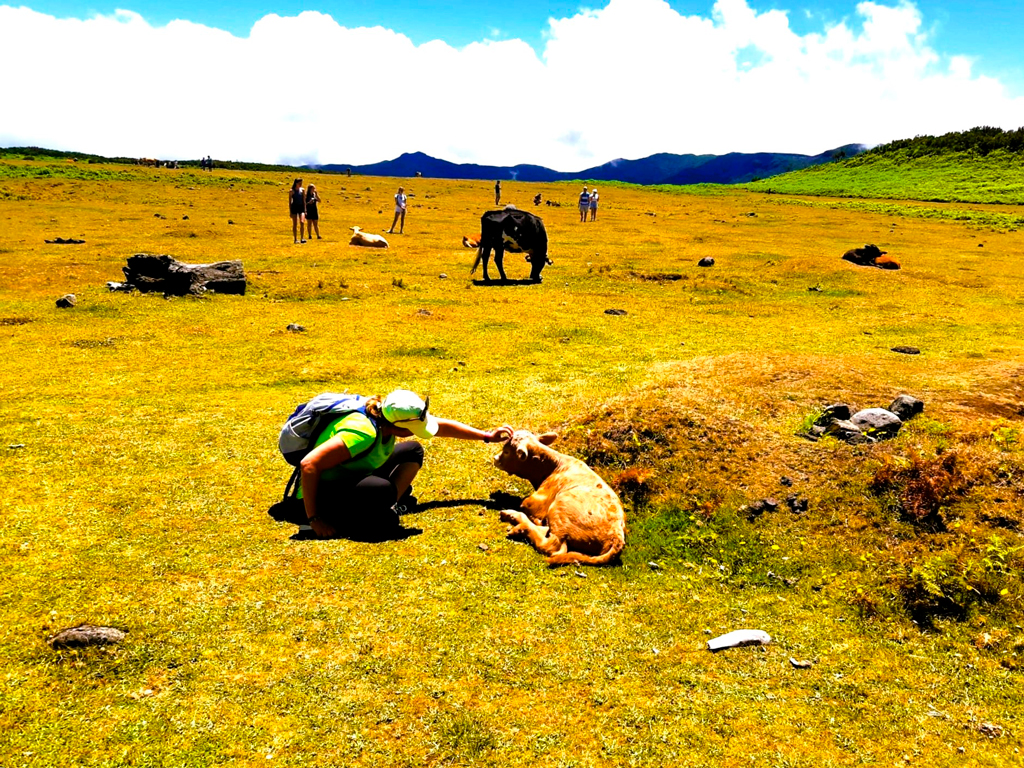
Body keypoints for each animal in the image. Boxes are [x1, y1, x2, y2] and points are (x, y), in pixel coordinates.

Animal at [489, 430, 622, 569]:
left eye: (506, 451)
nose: (495, 459)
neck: (552, 467)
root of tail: (617, 536)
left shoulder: (535, 503)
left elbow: (523, 504)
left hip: (560, 508)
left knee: (552, 546)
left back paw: (516, 522)